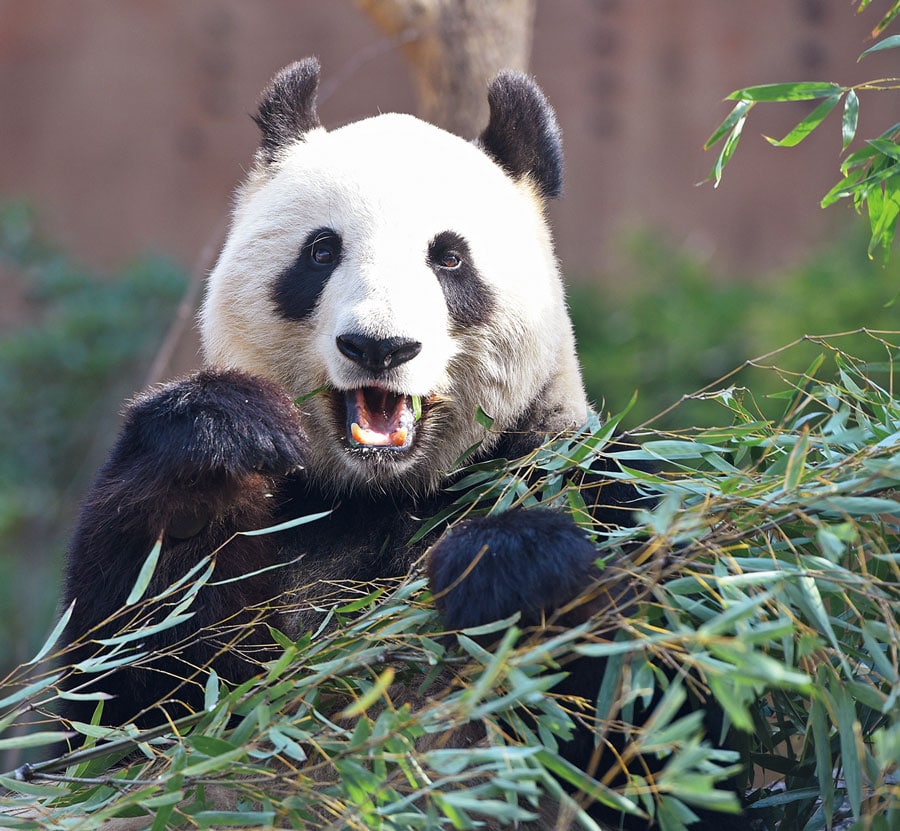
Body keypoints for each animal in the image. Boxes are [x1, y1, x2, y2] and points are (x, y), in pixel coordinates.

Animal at [63, 60, 748, 831]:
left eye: (449, 258)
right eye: (322, 251)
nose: (379, 346)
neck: (386, 490)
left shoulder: (593, 477)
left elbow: (674, 726)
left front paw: (509, 567)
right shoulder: (287, 521)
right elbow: (128, 701)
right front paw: (215, 449)